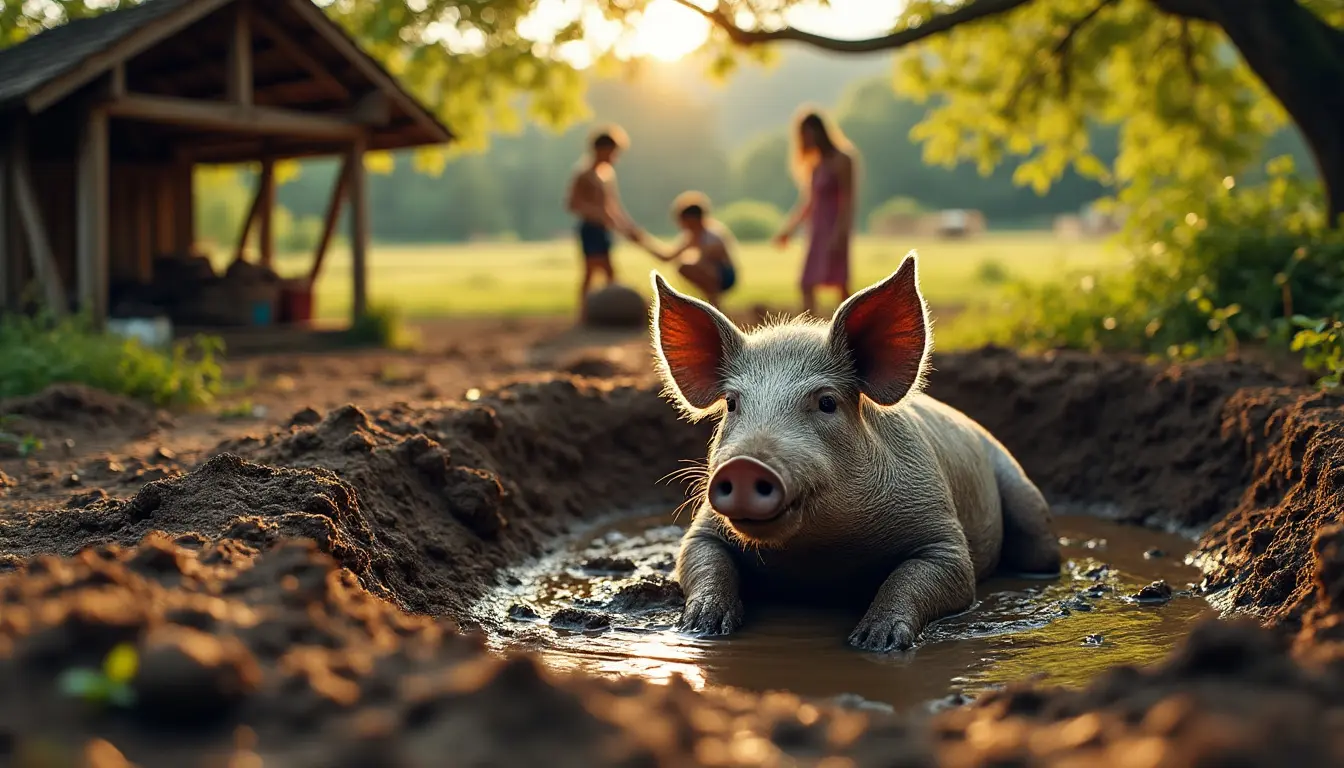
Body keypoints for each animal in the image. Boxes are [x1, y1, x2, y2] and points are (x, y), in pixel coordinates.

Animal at [649, 253, 1060, 652]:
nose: (745, 465)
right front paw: (699, 627)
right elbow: (700, 560)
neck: (818, 558)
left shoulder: (942, 533)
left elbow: (931, 577)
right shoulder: (702, 530)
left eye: (827, 402)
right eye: (733, 404)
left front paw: (874, 643)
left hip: (1025, 499)